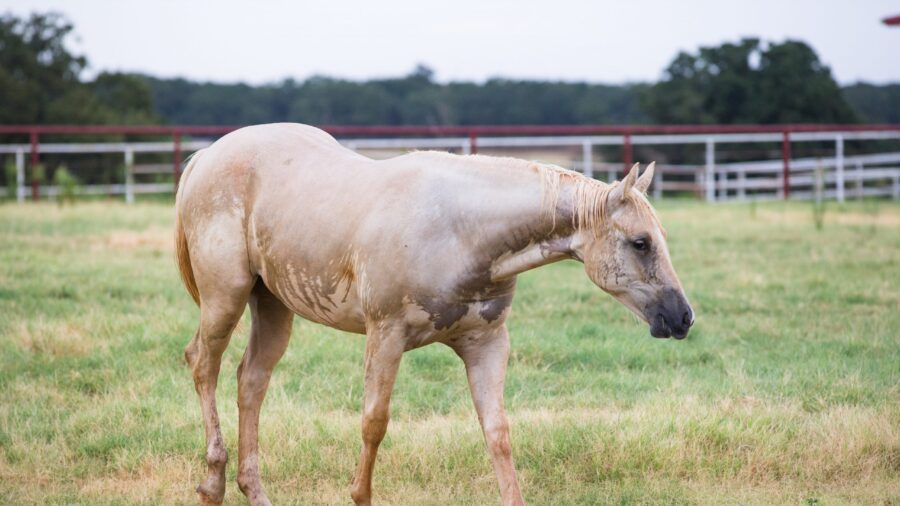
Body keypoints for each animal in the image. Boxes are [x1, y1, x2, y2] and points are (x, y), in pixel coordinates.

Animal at [174, 123, 693, 506]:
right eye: (640, 242)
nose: (683, 317)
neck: (461, 232)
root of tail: (205, 157)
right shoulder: (385, 336)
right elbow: (374, 423)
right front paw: (359, 494)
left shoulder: (486, 344)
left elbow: (497, 432)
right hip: (226, 297)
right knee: (203, 363)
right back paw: (212, 484)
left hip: (273, 306)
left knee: (251, 381)